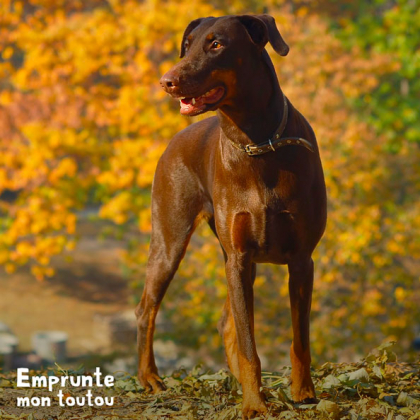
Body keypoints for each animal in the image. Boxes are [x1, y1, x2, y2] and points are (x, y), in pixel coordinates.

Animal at [136, 13, 326, 420]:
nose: (166, 81)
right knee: (147, 308)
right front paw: (253, 404)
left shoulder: (301, 259)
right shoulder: (239, 257)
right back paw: (150, 378)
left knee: (227, 323)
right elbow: (249, 344)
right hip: (171, 239)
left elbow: (299, 339)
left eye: (216, 43)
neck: (257, 143)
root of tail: (173, 142)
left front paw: (303, 393)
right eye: (187, 44)